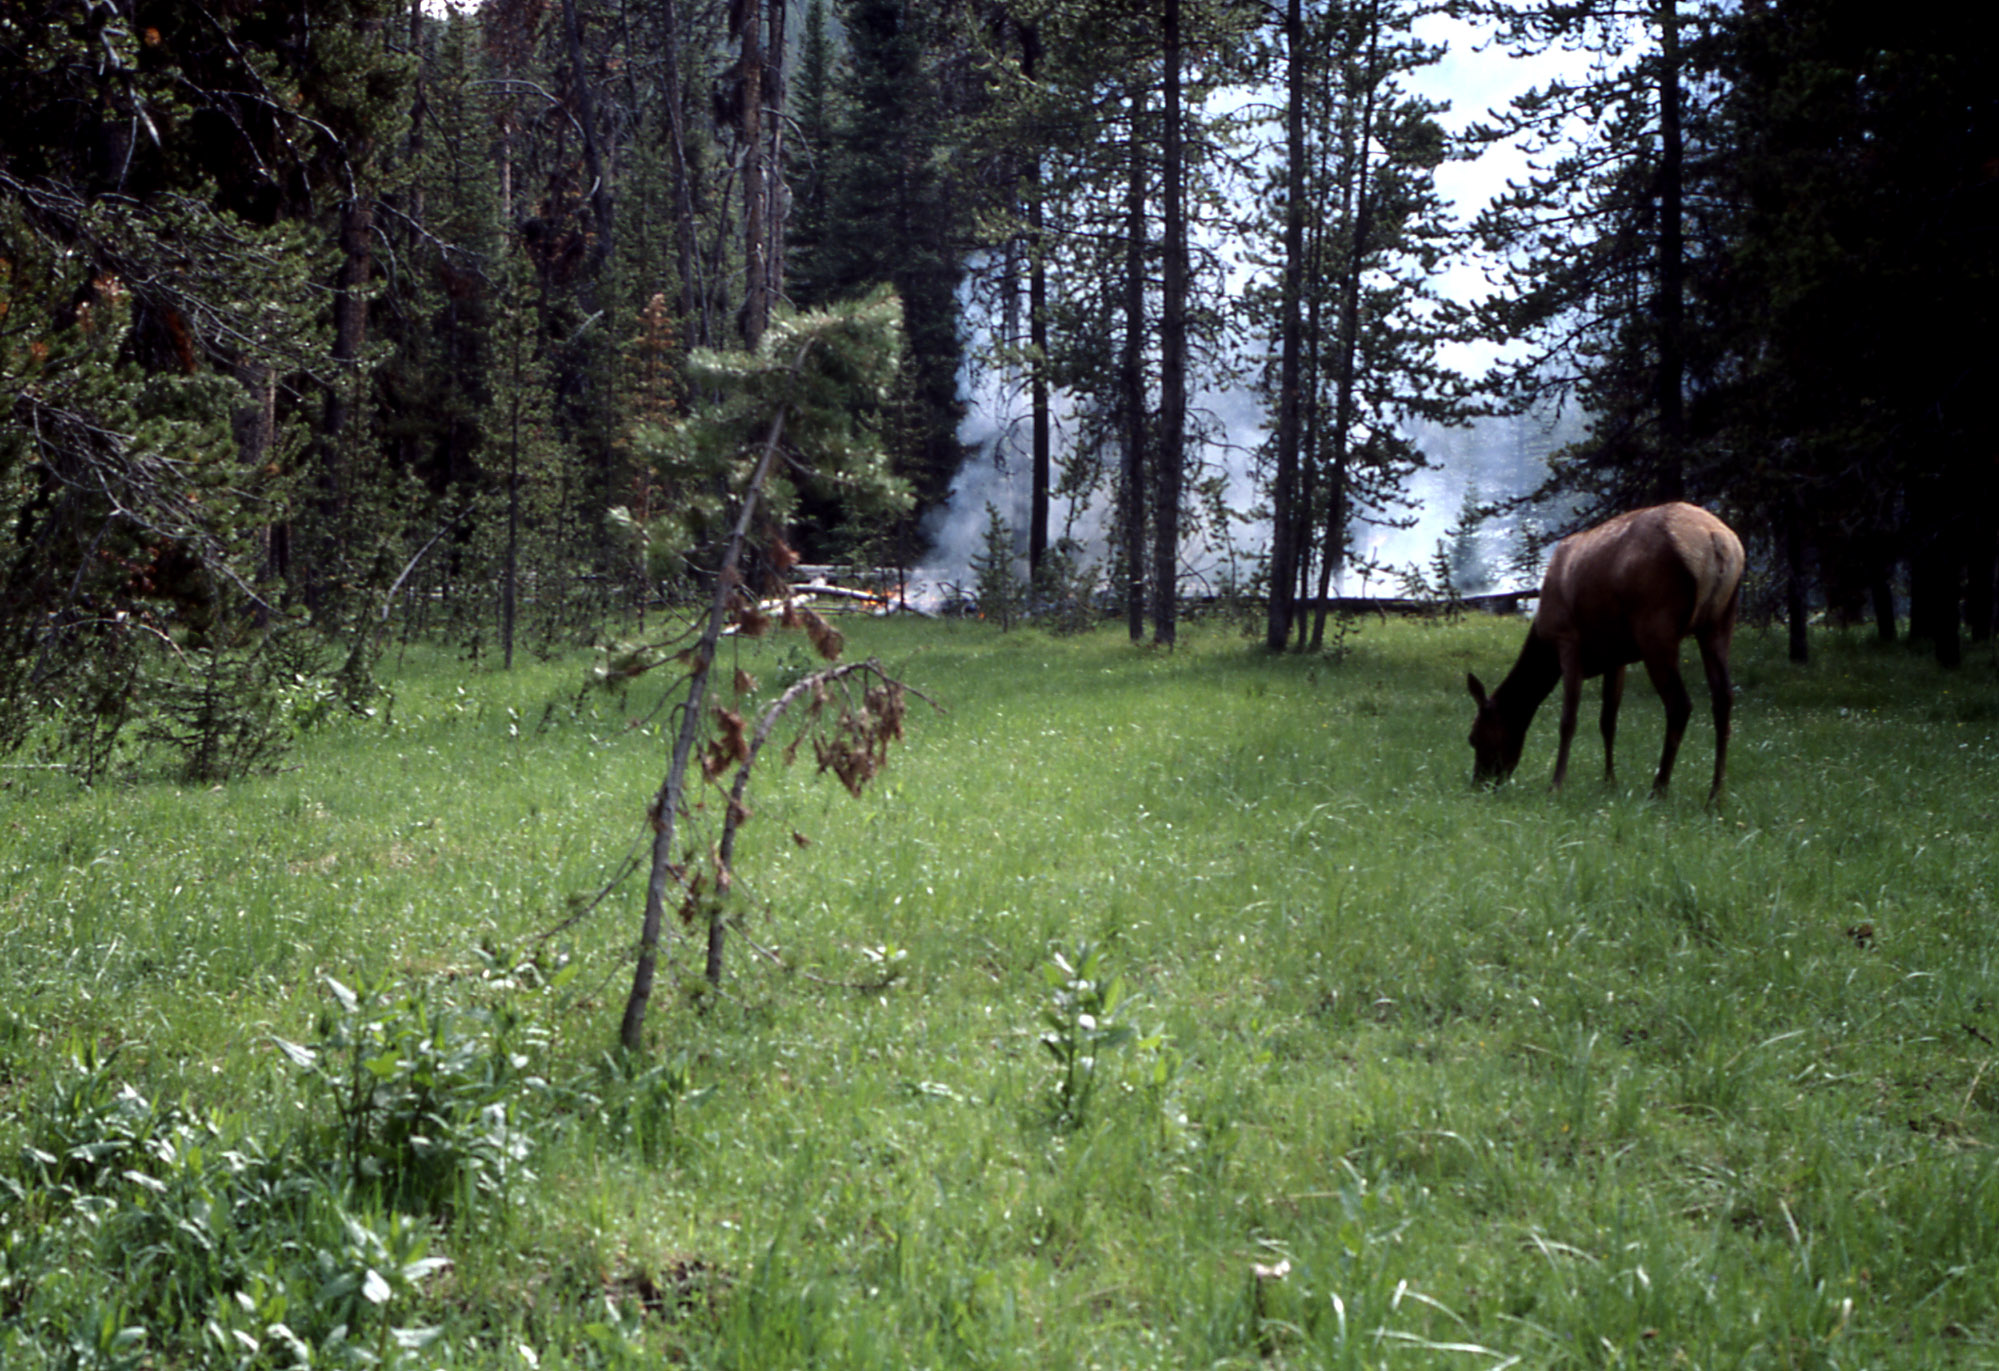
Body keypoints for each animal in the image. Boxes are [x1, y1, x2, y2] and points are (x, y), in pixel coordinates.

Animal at [1463, 505, 1743, 807]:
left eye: (1474, 737)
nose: (1480, 784)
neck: (1542, 637)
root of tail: (1718, 542)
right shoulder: (1615, 658)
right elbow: (1608, 720)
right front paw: (1609, 782)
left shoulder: (1568, 639)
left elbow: (1568, 720)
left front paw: (1556, 785)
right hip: (1719, 623)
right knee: (1723, 699)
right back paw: (1715, 795)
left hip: (1656, 626)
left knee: (1680, 704)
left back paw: (1658, 790)